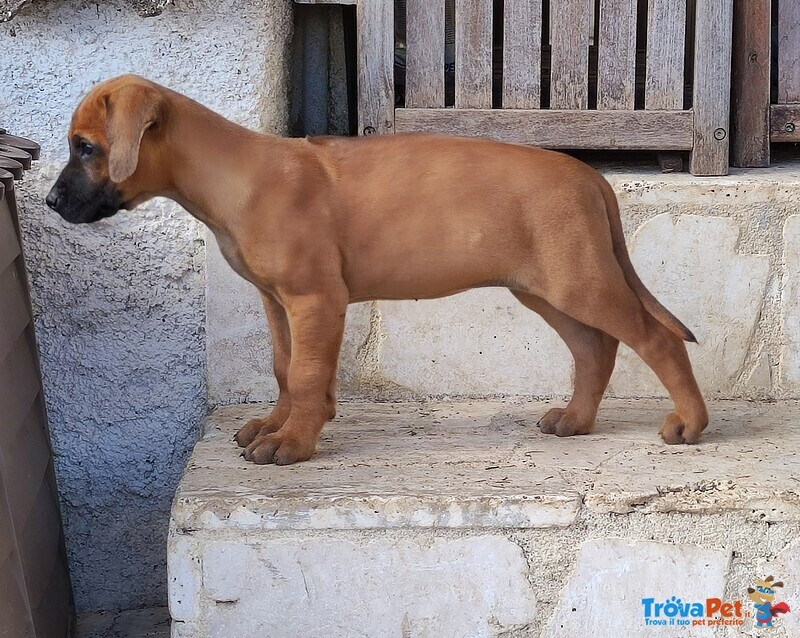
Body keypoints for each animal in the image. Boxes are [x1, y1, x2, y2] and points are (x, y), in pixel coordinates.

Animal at [47, 75, 708, 464]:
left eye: (86, 147)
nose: (52, 203)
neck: (234, 176)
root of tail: (590, 175)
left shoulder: (315, 299)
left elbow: (307, 373)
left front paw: (294, 442)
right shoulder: (279, 302)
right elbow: (286, 368)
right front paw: (279, 425)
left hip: (578, 280)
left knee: (655, 339)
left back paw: (690, 424)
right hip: (544, 288)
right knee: (594, 348)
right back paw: (575, 420)